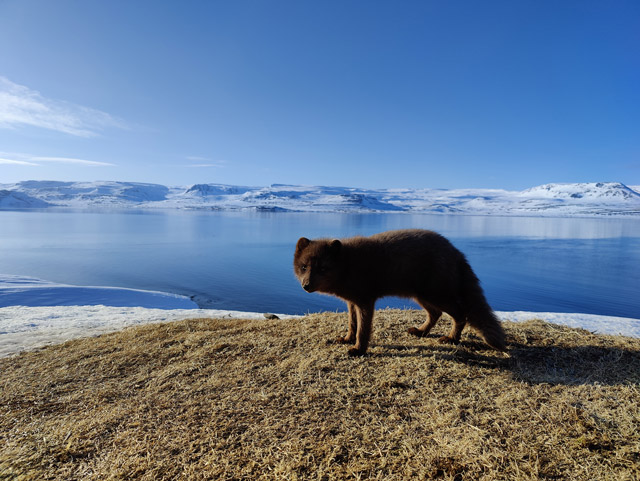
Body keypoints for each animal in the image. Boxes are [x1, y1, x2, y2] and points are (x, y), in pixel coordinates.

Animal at [293, 229, 506, 356]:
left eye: (322, 269)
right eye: (304, 267)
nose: (306, 285)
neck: (348, 264)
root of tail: (456, 252)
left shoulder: (365, 301)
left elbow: (363, 329)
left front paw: (359, 349)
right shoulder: (351, 302)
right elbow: (352, 324)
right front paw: (347, 340)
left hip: (437, 294)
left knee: (461, 314)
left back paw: (452, 339)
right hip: (422, 296)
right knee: (435, 314)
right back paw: (420, 332)